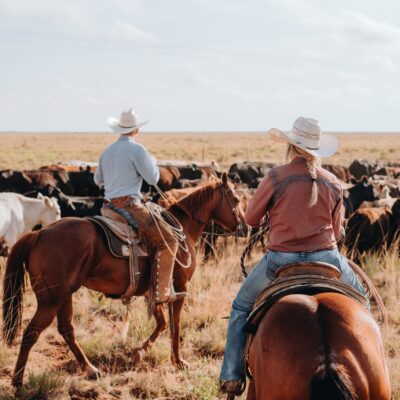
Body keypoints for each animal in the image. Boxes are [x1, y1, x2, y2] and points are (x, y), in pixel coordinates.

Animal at [3, 173, 245, 386]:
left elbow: (162, 322)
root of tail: (39, 234)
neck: (183, 228)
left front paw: (139, 352)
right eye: (236, 199)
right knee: (31, 333)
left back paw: (90, 369)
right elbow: (175, 325)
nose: (243, 226)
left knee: (66, 329)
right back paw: (18, 380)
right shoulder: (178, 287)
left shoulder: (153, 290)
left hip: (64, 295)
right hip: (50, 300)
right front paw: (178, 361)